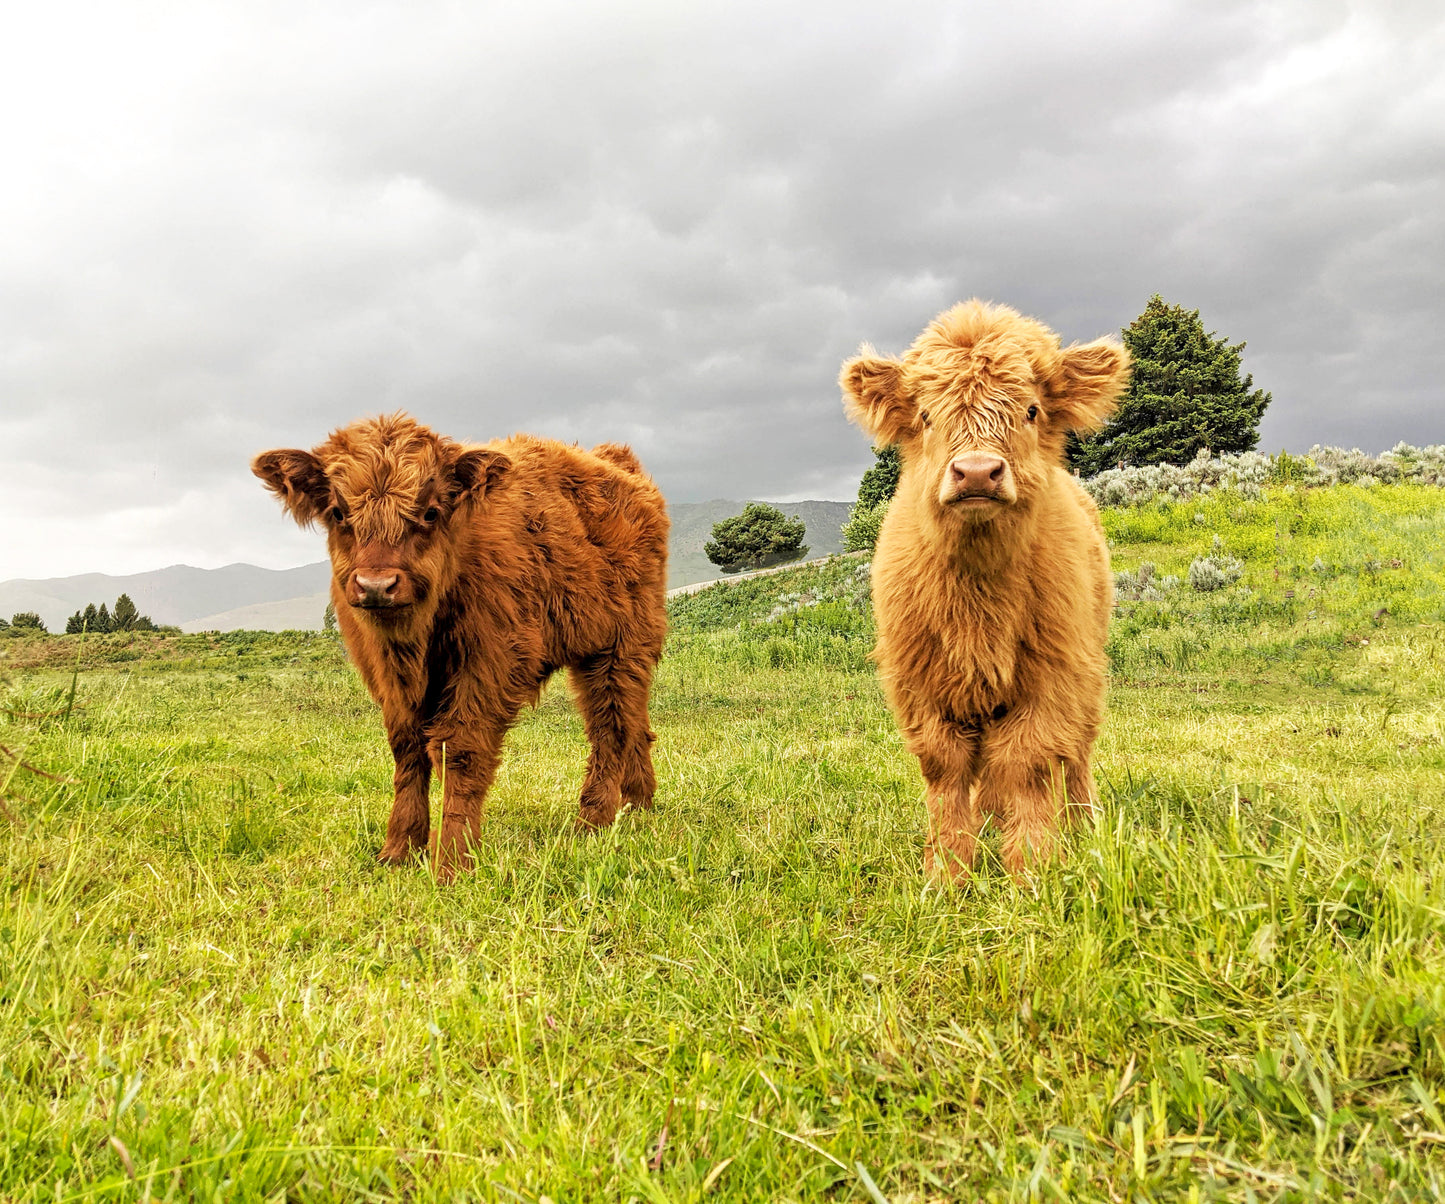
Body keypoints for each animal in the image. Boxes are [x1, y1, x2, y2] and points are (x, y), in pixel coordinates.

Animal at [251, 419, 667, 878]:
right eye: (339, 513)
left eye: (431, 511)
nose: (376, 585)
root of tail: (617, 462)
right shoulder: (386, 673)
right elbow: (408, 751)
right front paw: (400, 849)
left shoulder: (488, 663)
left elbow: (459, 752)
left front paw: (452, 860)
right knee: (633, 720)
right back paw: (638, 804)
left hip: (622, 645)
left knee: (610, 727)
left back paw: (592, 822)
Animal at [843, 300, 1132, 878]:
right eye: (926, 416)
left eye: (1031, 410)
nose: (977, 473)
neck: (978, 604)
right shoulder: (924, 686)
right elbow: (947, 774)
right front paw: (948, 873)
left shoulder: (1050, 679)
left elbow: (1028, 765)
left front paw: (1033, 869)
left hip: (1087, 675)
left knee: (1076, 755)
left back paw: (1083, 826)